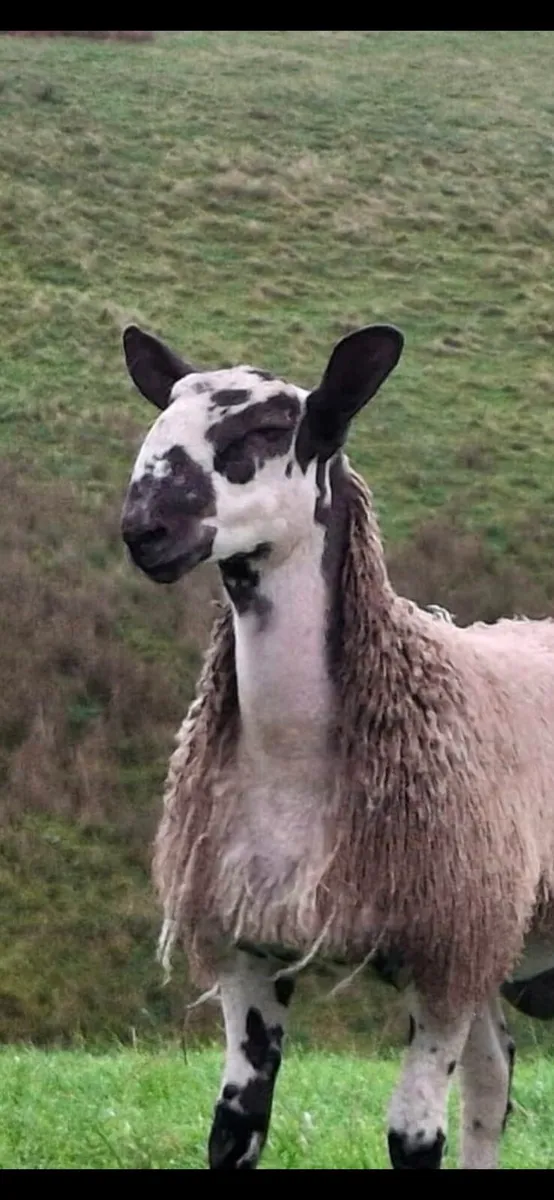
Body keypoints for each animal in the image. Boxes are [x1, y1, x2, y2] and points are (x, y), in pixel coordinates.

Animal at [120, 321, 554, 1170]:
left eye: (266, 430)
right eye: (160, 420)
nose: (143, 529)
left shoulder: (439, 957)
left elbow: (413, 1138)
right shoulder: (251, 953)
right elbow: (234, 1129)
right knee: (494, 1081)